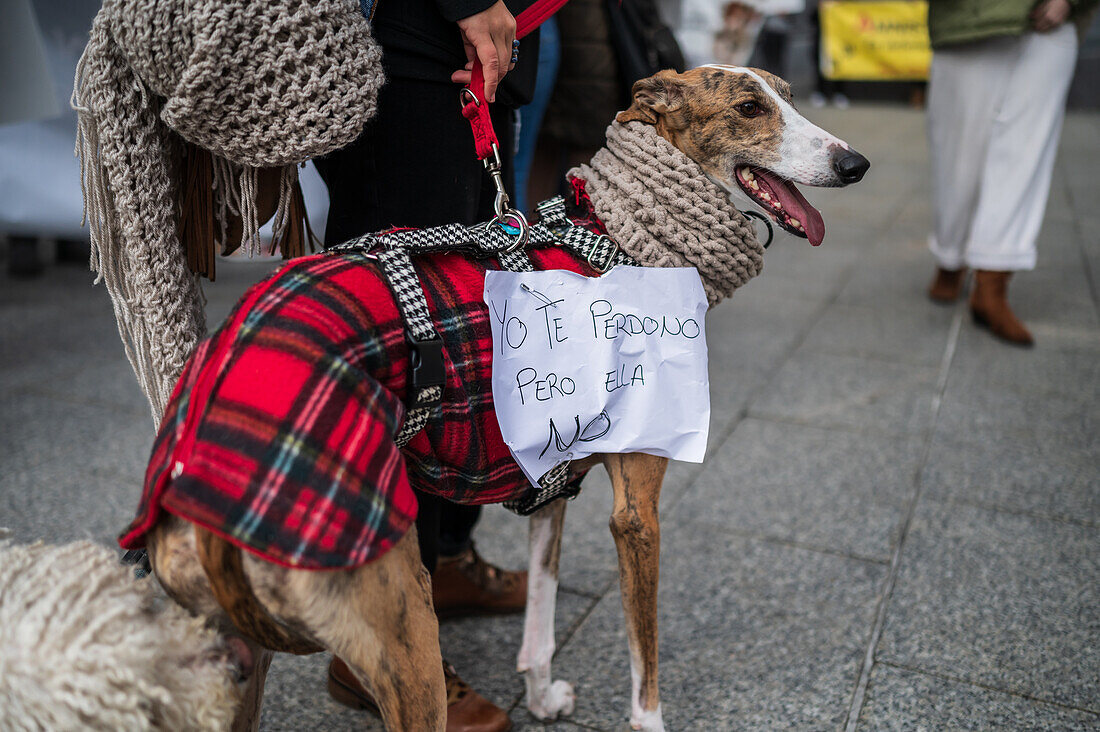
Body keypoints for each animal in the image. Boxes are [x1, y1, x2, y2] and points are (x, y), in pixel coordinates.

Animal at [128, 65, 866, 726]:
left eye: (790, 96)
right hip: (405, 633)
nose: (855, 163)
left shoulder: (551, 478)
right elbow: (645, 673)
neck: (619, 236)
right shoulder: (637, 515)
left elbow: (540, 615)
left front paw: (540, 698)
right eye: (749, 107)